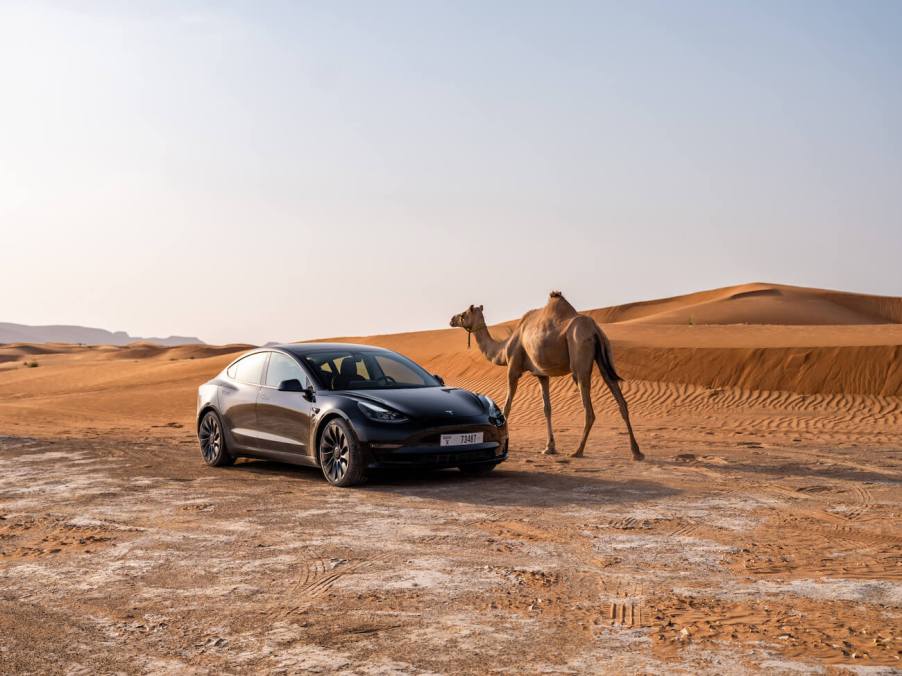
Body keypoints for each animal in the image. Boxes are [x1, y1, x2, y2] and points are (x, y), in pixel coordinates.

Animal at [452, 290, 644, 460]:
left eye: (463, 314)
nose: (452, 319)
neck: (504, 347)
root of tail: (595, 329)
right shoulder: (542, 375)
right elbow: (547, 408)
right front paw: (549, 447)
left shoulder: (513, 368)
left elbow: (507, 406)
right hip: (605, 354)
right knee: (621, 400)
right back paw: (636, 452)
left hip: (579, 354)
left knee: (589, 409)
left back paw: (578, 451)